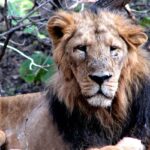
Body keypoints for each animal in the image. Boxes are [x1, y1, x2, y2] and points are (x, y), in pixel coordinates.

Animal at [0, 9, 150, 150]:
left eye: (113, 49)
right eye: (81, 48)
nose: (100, 78)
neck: (108, 114)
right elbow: (107, 147)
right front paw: (133, 143)